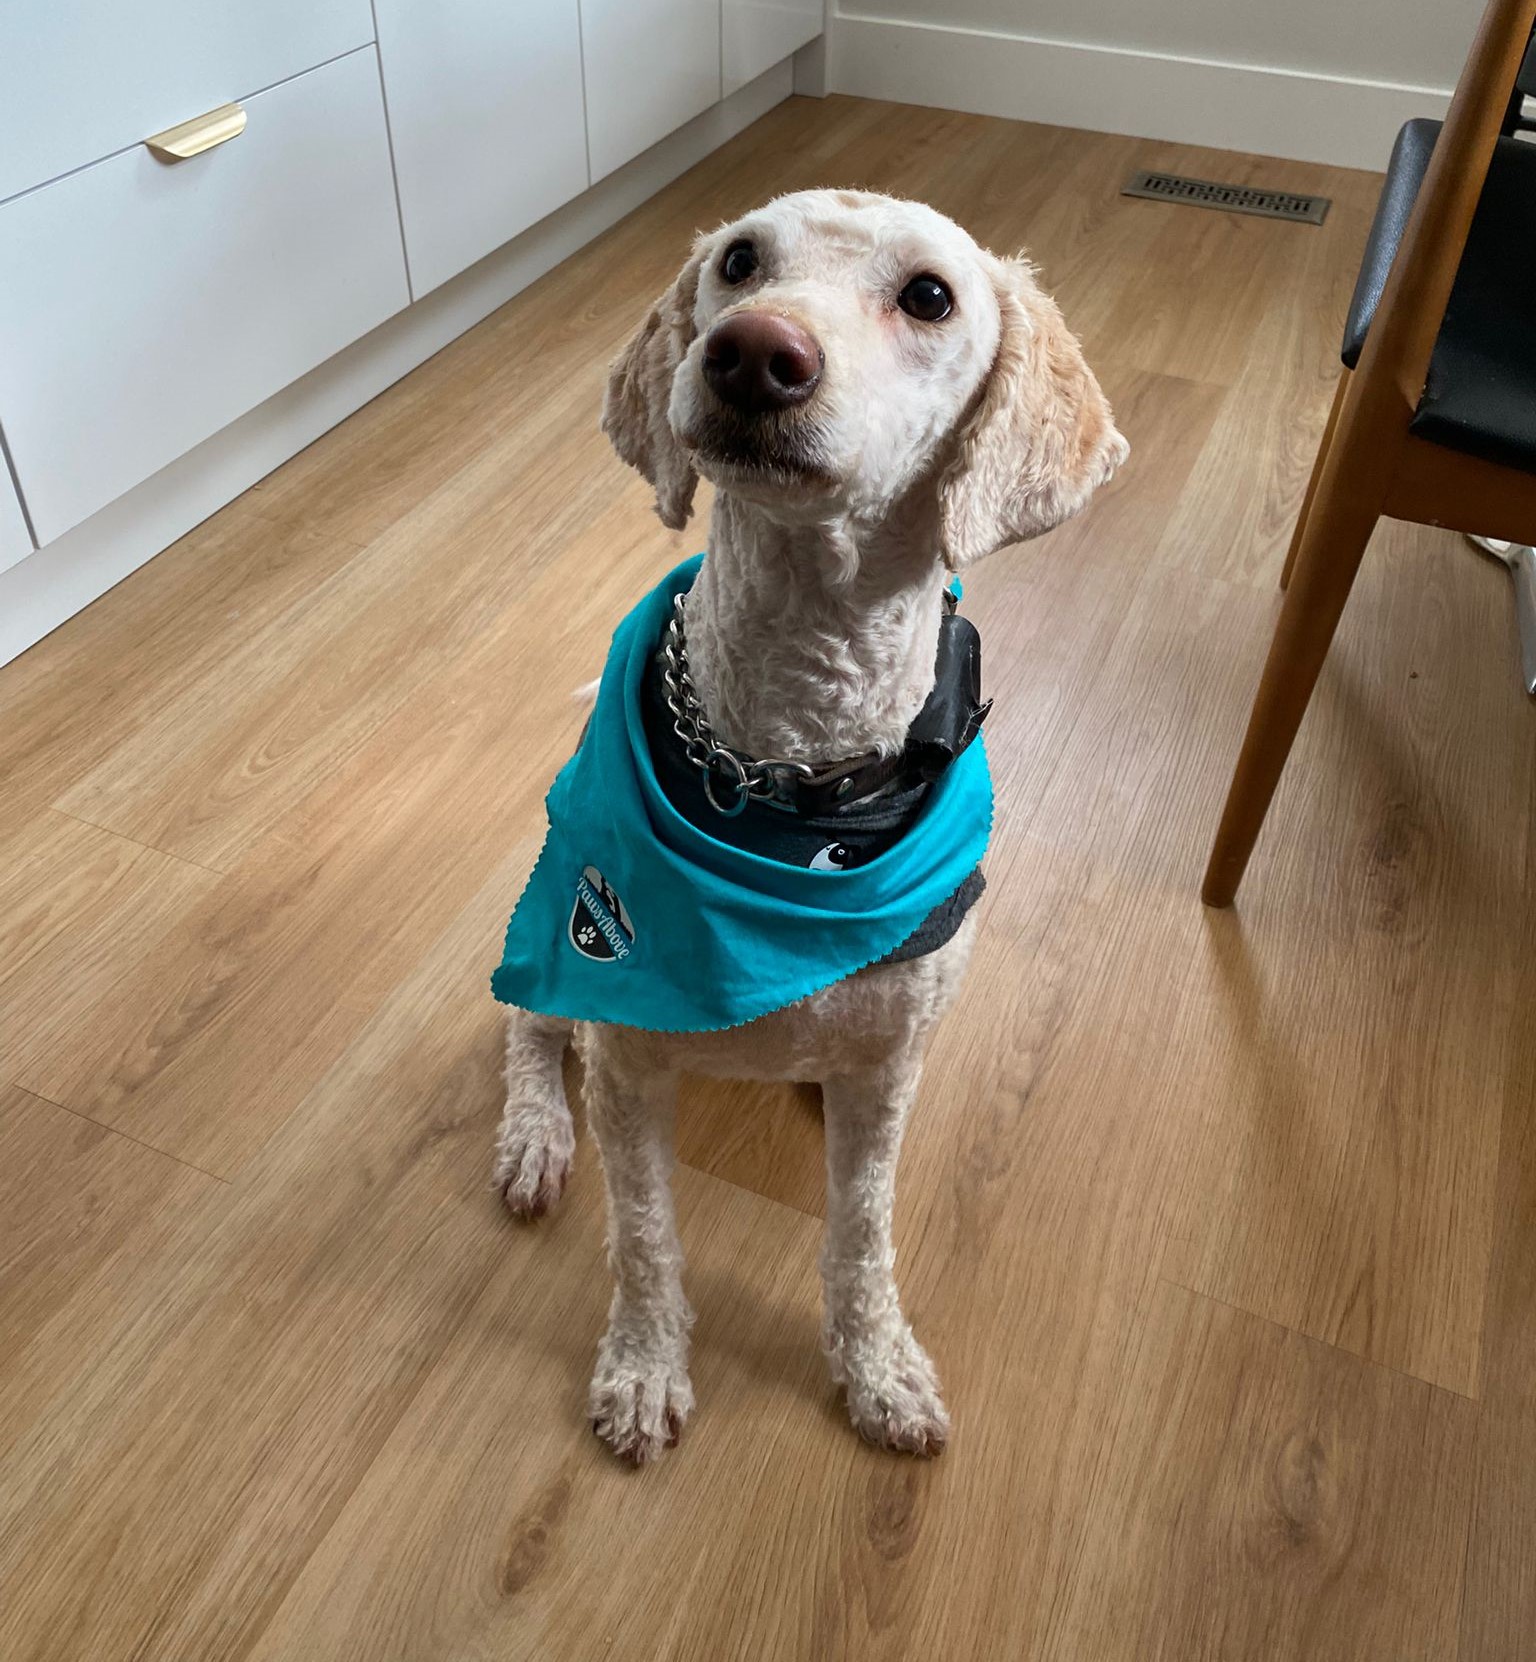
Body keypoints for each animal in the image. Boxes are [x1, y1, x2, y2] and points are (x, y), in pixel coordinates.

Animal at [493, 189, 1126, 1463]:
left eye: (929, 295)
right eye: (739, 262)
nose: (752, 352)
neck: (788, 770)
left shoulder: (888, 1075)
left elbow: (860, 1234)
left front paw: (878, 1369)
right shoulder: (627, 1066)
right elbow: (646, 1236)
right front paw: (643, 1366)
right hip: (546, 924)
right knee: (530, 1022)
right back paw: (534, 1132)